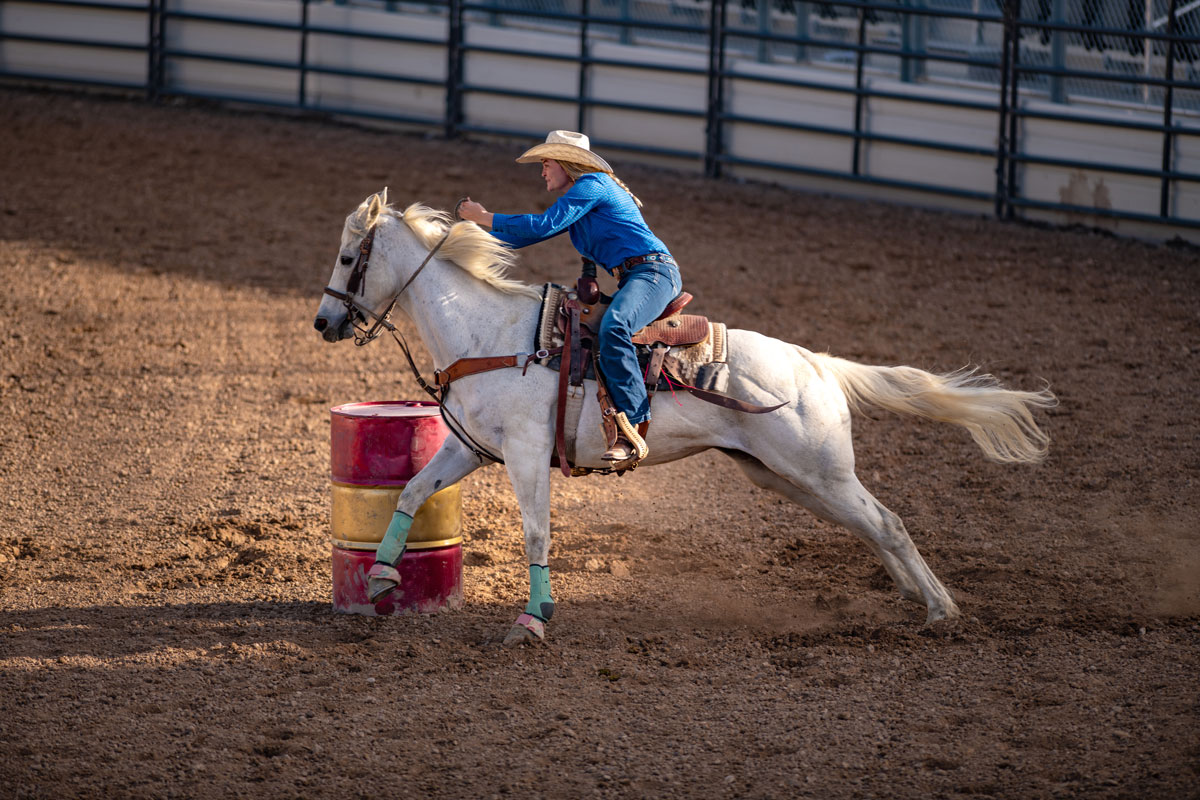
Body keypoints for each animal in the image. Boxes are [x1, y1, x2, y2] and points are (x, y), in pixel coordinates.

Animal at [314, 190, 1056, 647]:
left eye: (350, 257)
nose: (323, 322)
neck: (494, 334)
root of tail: (815, 362)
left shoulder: (526, 455)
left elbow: (535, 534)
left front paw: (533, 619)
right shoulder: (471, 446)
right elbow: (411, 491)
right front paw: (380, 579)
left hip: (817, 470)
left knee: (890, 524)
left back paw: (941, 610)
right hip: (788, 477)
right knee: (871, 527)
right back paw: (913, 599)